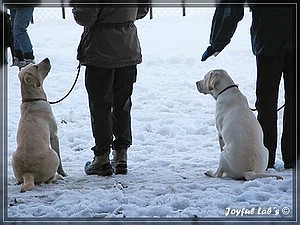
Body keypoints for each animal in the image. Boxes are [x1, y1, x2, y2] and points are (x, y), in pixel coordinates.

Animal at [12, 57, 66, 192]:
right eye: (36, 66)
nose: (47, 58)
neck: (32, 100)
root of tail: (28, 174)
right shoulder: (54, 135)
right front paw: (63, 173)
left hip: (13, 157)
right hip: (53, 156)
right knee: (49, 179)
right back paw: (58, 177)